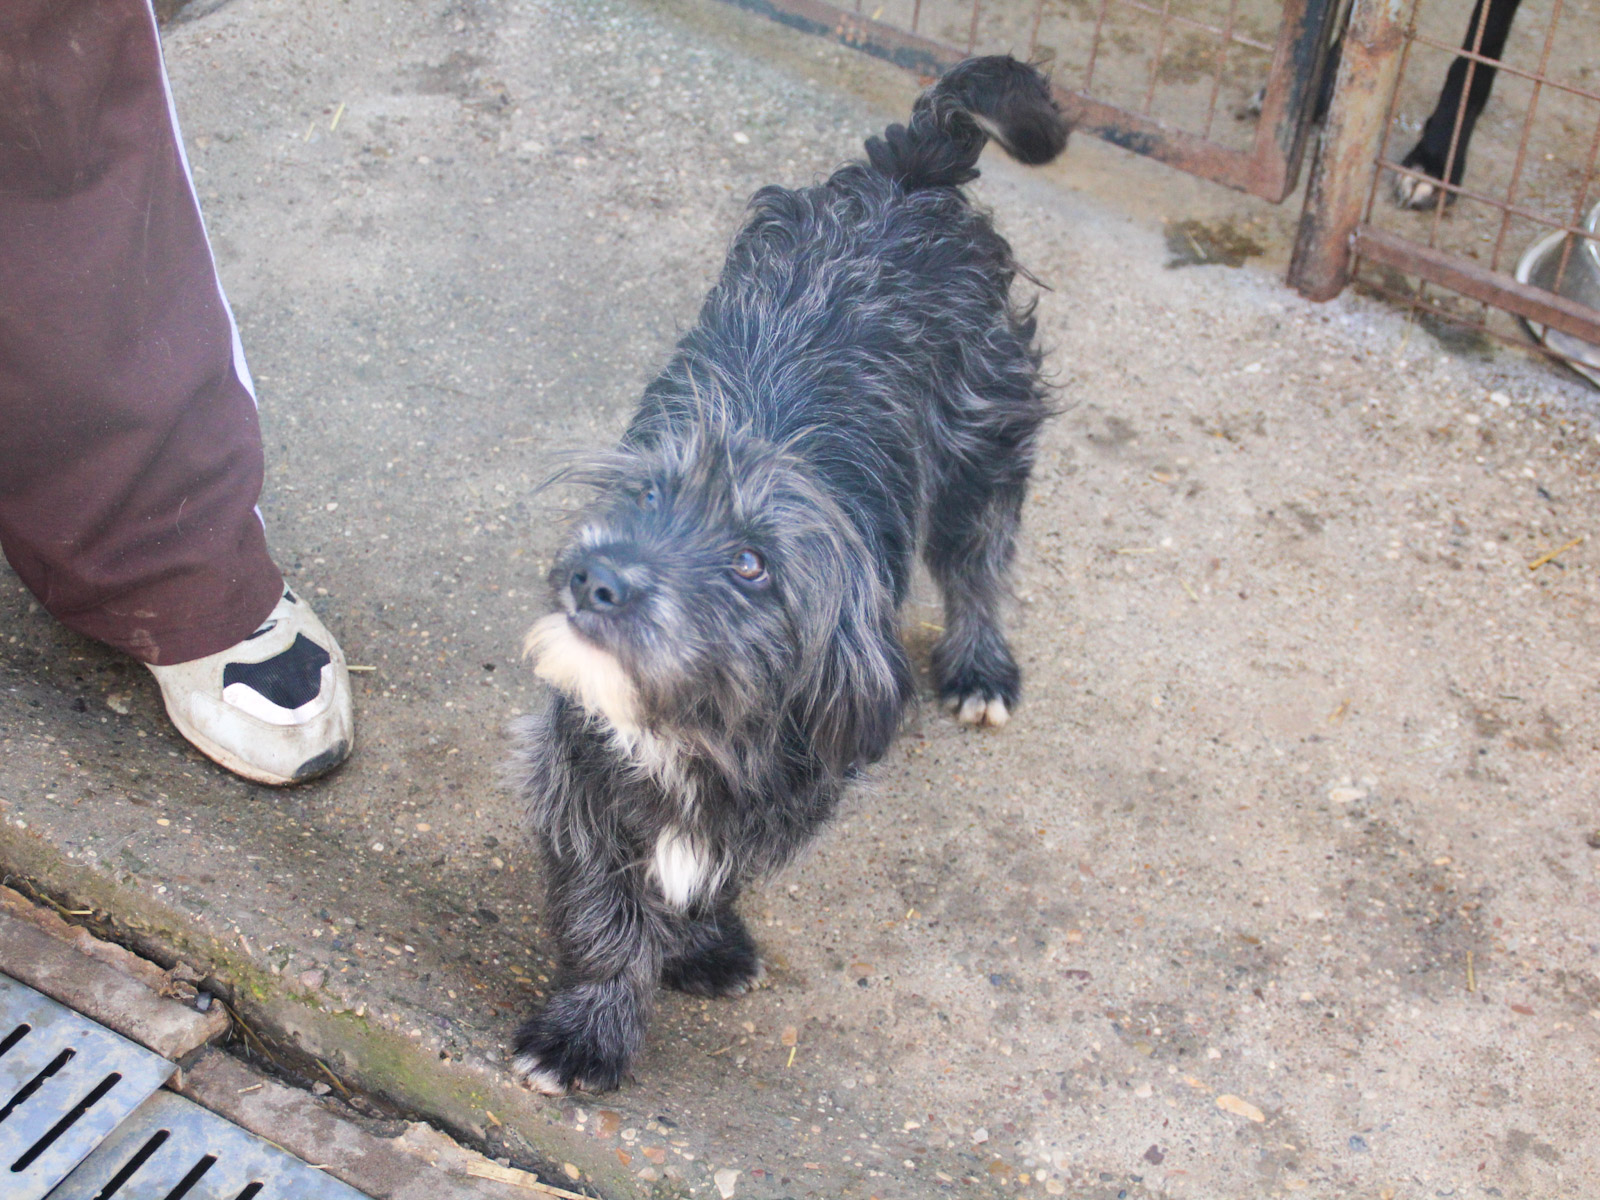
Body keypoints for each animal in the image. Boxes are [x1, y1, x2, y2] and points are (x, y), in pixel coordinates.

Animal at [509, 56, 1068, 1094]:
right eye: (646, 493)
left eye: (751, 564)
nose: (594, 581)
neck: (694, 728)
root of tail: (912, 170)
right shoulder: (576, 773)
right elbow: (608, 914)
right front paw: (591, 1028)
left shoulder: (796, 786)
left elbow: (709, 870)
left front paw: (691, 942)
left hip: (984, 450)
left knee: (981, 564)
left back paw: (981, 665)